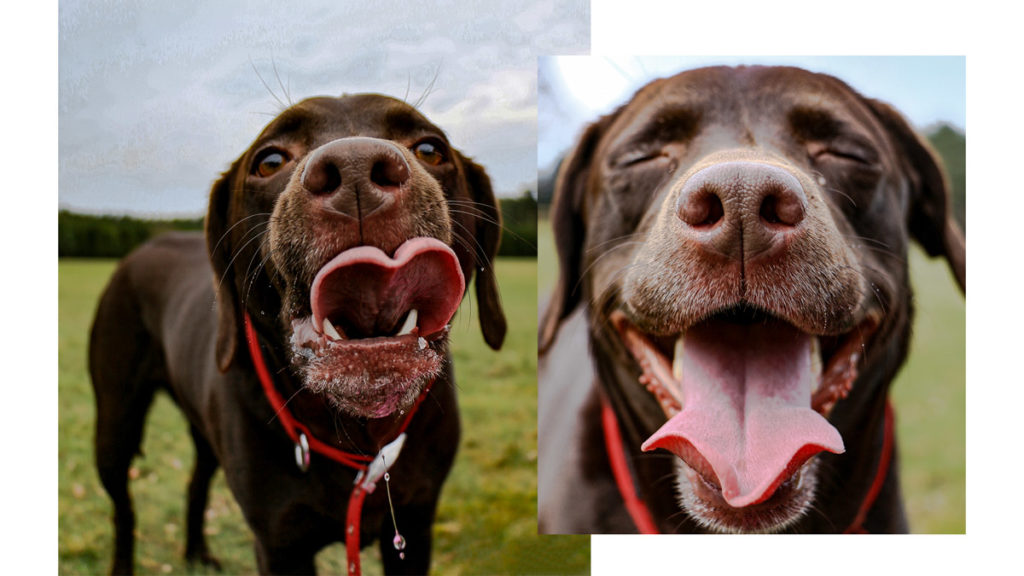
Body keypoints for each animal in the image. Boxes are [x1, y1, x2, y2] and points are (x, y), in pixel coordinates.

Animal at [90, 93, 505, 569]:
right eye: (269, 160)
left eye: (431, 149)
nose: (356, 169)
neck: (357, 436)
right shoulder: (279, 541)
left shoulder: (415, 526)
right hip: (115, 425)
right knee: (123, 510)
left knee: (195, 482)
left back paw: (197, 552)